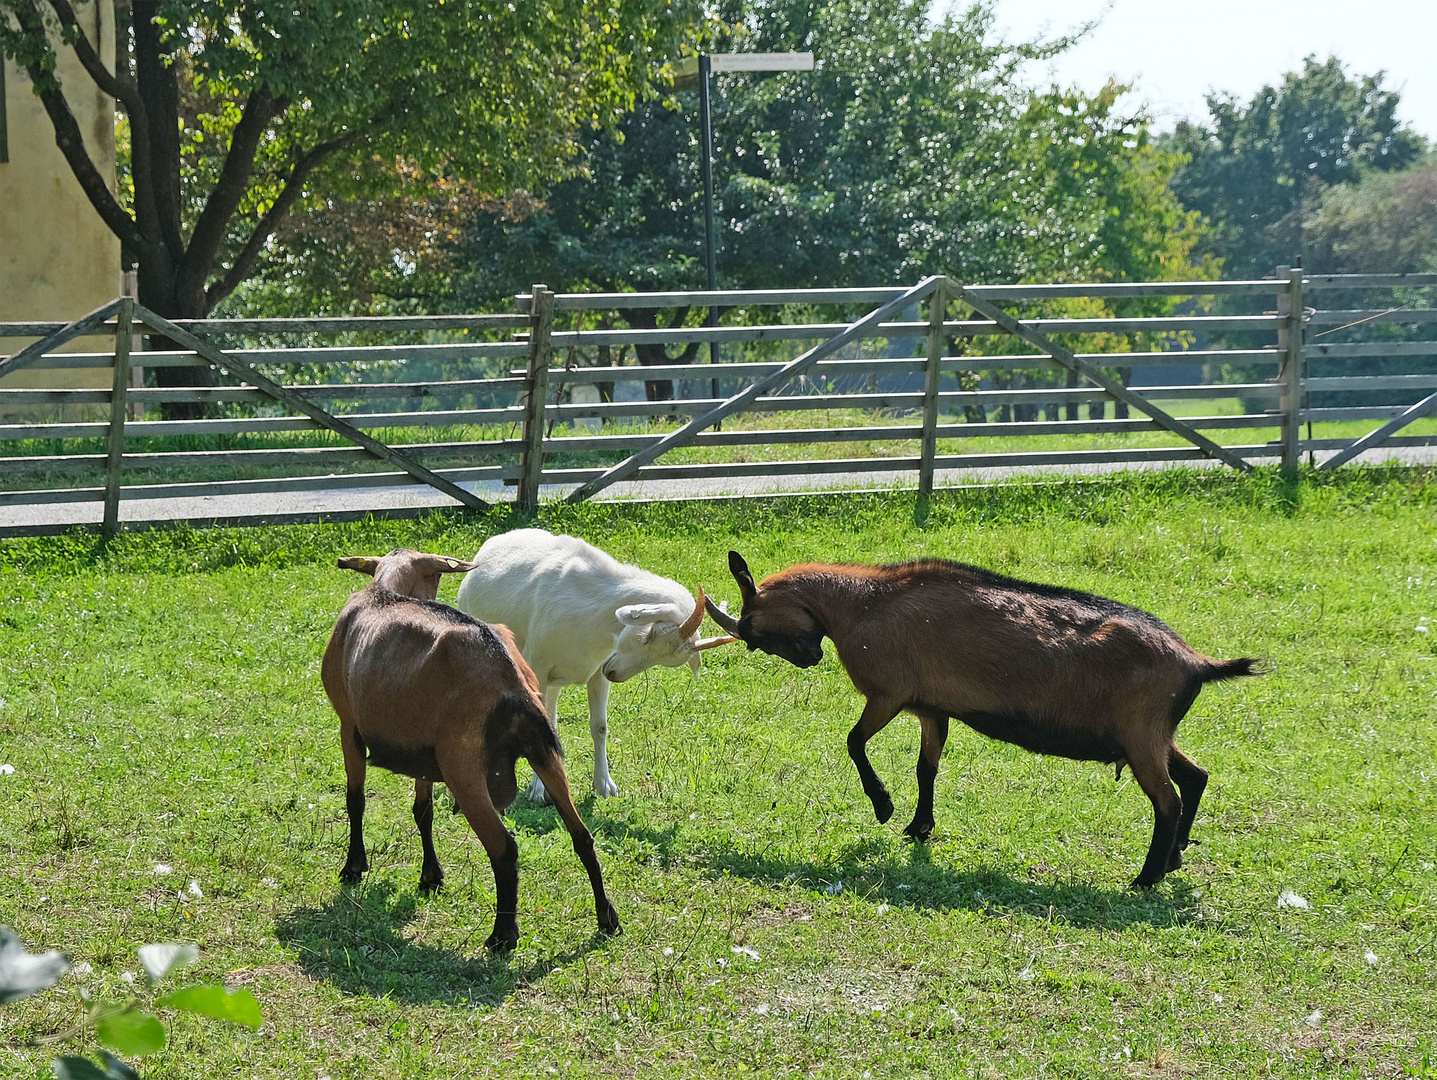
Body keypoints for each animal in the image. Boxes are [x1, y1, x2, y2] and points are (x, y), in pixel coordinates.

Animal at [323, 551, 620, 947]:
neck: (383, 592)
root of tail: (511, 681)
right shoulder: (424, 751)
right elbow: (423, 810)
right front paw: (431, 875)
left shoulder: (348, 725)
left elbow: (355, 800)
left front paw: (354, 867)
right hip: (543, 752)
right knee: (583, 836)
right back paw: (607, 918)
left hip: (463, 767)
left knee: (504, 847)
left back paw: (502, 936)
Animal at [456, 528, 735, 804]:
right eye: (650, 634)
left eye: (664, 660)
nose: (615, 673)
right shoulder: (538, 669)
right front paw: (539, 791)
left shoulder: (597, 673)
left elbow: (599, 726)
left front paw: (604, 786)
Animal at [707, 551, 1258, 890]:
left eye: (753, 632)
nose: (810, 658)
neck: (863, 605)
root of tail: (1197, 663)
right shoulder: (932, 708)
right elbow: (925, 769)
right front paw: (918, 827)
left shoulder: (888, 694)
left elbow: (853, 741)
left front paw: (884, 807)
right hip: (1153, 734)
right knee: (1196, 776)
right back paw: (1176, 857)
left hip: (1142, 736)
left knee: (1167, 800)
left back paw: (1145, 878)